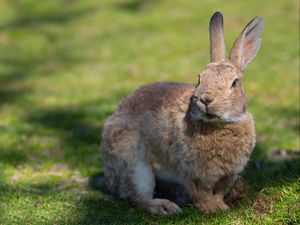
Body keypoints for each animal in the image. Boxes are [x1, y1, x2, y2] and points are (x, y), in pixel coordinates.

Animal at [101, 11, 264, 214]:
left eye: (234, 83)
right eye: (199, 78)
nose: (206, 99)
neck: (218, 125)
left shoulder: (227, 175)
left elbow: (218, 192)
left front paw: (222, 207)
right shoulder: (190, 172)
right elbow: (202, 193)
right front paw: (211, 209)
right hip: (135, 162)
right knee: (135, 195)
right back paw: (164, 207)